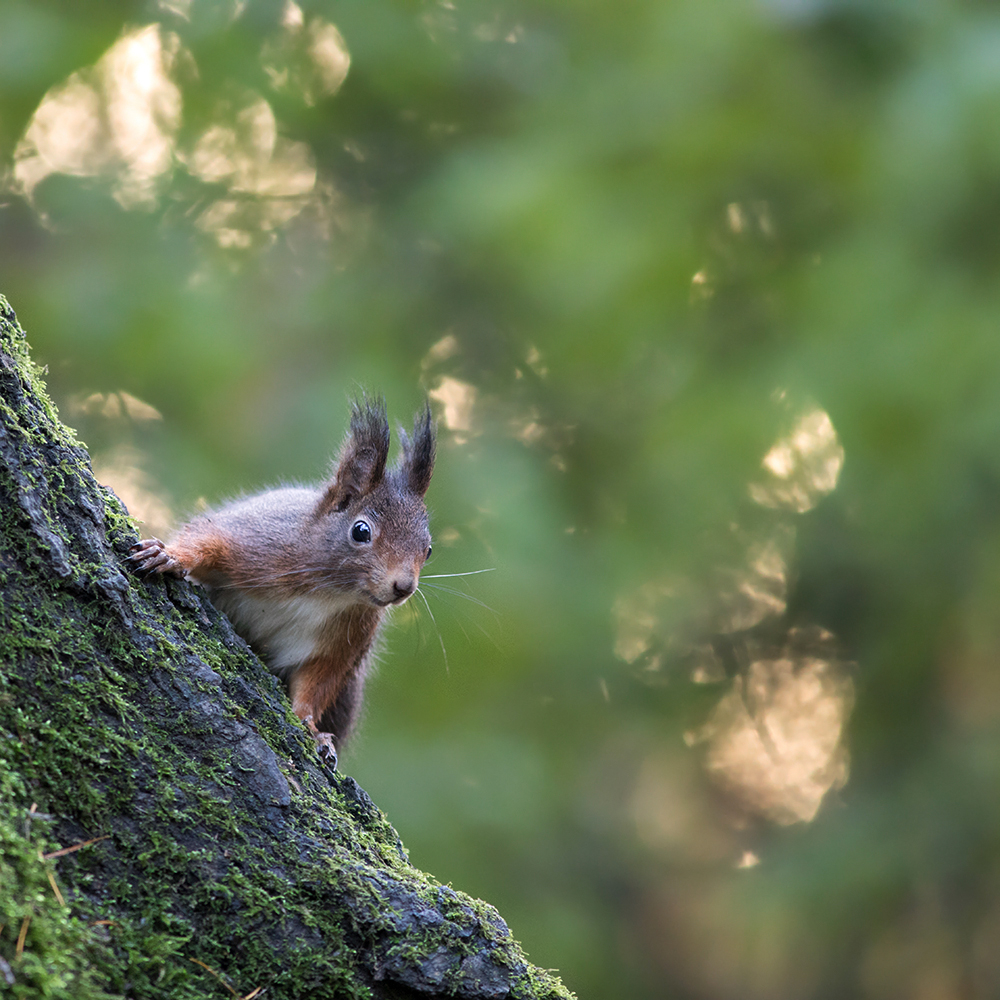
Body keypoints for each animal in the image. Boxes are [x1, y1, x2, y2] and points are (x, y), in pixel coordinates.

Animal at [128, 398, 434, 764]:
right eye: (361, 531)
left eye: (428, 550)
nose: (403, 587)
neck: (330, 592)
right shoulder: (259, 545)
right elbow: (207, 540)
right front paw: (171, 556)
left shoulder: (344, 640)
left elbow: (316, 685)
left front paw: (314, 731)